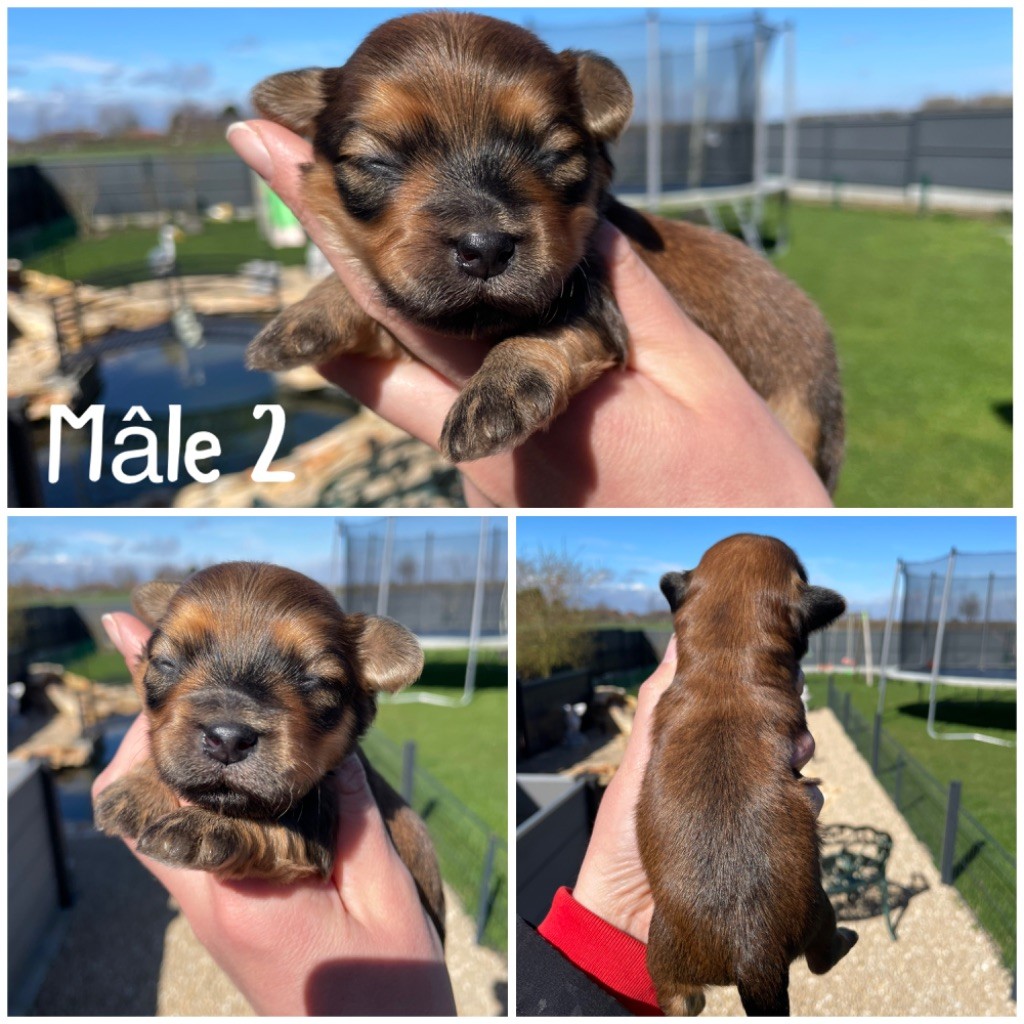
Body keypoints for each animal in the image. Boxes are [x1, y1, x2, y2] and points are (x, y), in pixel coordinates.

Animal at [92, 561, 445, 941]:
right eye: (166, 662)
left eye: (315, 681)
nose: (228, 738)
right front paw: (137, 791)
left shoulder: (317, 822)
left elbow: (274, 827)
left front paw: (206, 827)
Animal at [246, 11, 844, 491]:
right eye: (375, 161)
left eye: (555, 155)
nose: (485, 247)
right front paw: (307, 314)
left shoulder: (598, 304)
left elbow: (552, 326)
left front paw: (499, 391)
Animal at [636, 534, 857, 1016]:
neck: (726, 661)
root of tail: (751, 953)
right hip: (820, 907)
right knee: (821, 959)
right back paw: (846, 939)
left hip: (662, 951)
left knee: (679, 997)